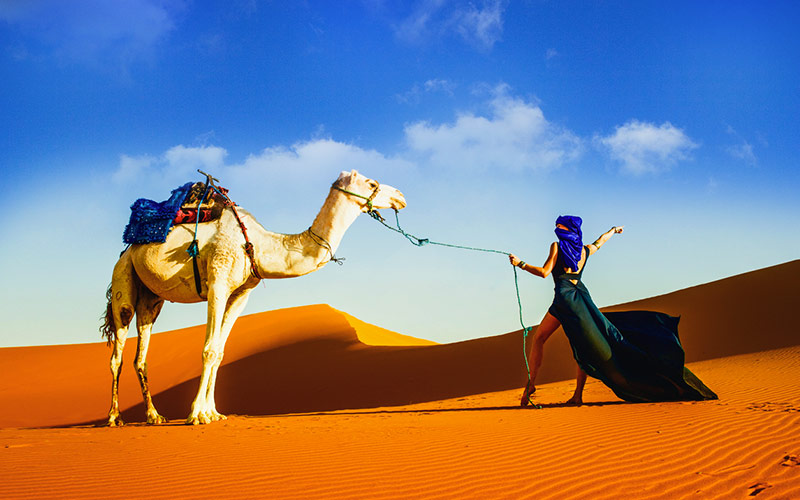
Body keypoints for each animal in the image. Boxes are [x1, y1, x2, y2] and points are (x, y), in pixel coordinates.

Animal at [101, 170, 406, 424]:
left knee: (141, 355)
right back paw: (115, 417)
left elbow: (220, 352)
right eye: (372, 183)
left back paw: (154, 416)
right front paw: (197, 414)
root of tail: (126, 250)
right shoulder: (218, 281)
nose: (400, 197)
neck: (258, 245)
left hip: (151, 298)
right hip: (123, 279)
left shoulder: (241, 293)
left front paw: (214, 413)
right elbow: (209, 349)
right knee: (117, 351)